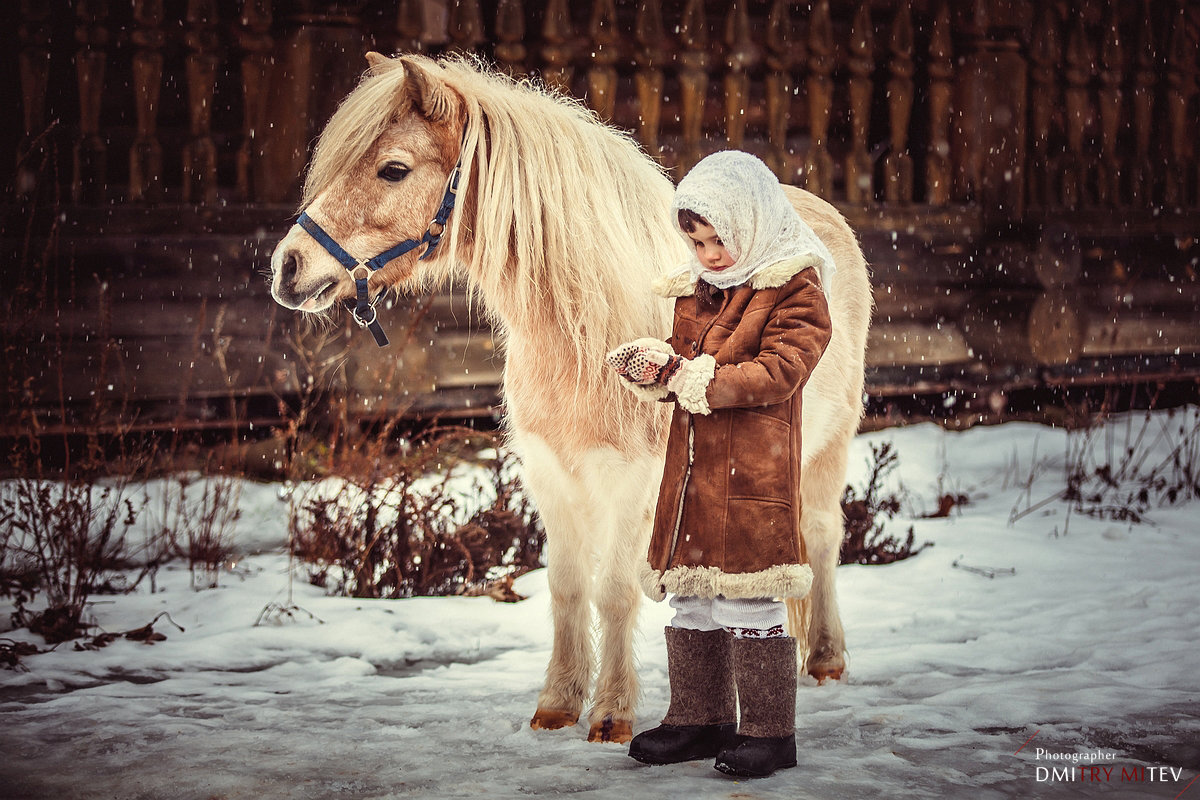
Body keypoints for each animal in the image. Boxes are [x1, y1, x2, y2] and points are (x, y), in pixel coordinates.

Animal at [270, 54, 873, 743]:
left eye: (393, 168)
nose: (287, 266)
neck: (582, 332)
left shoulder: (635, 485)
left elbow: (614, 591)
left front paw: (611, 713)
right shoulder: (551, 476)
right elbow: (564, 588)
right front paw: (557, 705)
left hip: (827, 448)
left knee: (821, 535)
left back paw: (824, 659)